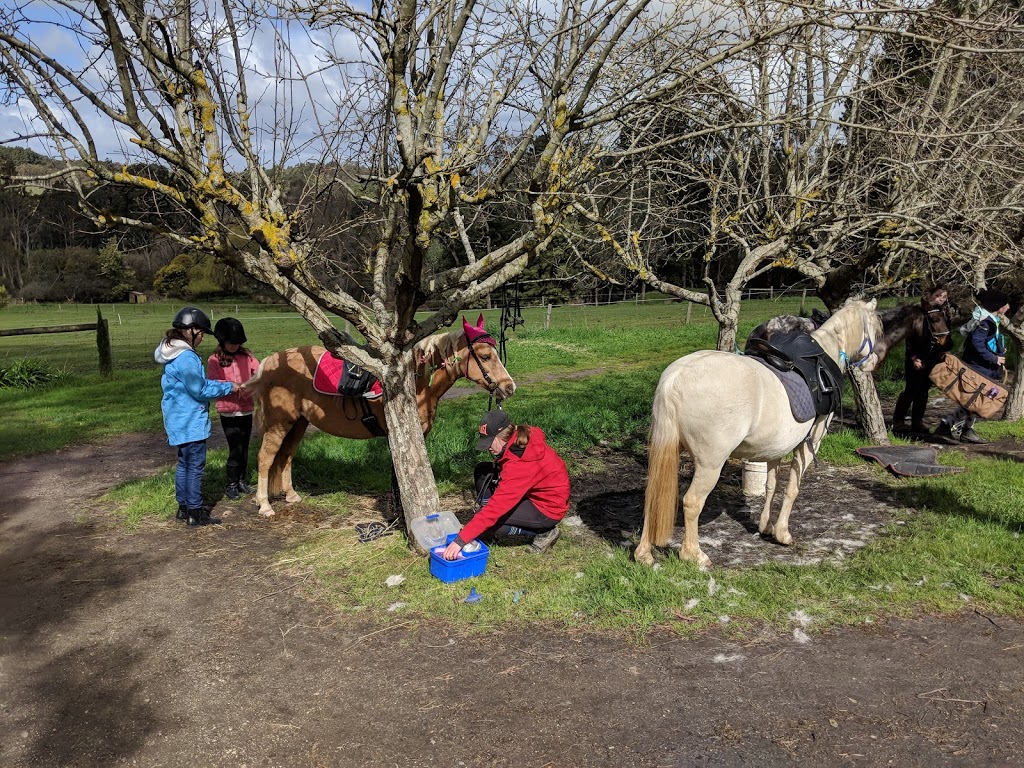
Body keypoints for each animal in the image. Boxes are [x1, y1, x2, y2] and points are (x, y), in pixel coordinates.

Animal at [244, 319, 516, 518]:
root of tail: (269, 362)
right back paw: (265, 505)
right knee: (266, 458)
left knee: (286, 457)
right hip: (280, 423)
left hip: (298, 423)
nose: (509, 387)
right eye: (485, 357)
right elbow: (398, 476)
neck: (413, 382)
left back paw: (291, 495)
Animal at [630, 296, 880, 569]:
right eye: (877, 329)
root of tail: (675, 378)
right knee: (692, 502)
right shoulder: (810, 442)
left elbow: (771, 485)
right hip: (710, 465)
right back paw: (694, 554)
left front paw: (766, 527)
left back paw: (643, 554)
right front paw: (782, 534)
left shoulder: (775, 449)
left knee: (653, 497)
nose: (874, 362)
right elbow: (792, 487)